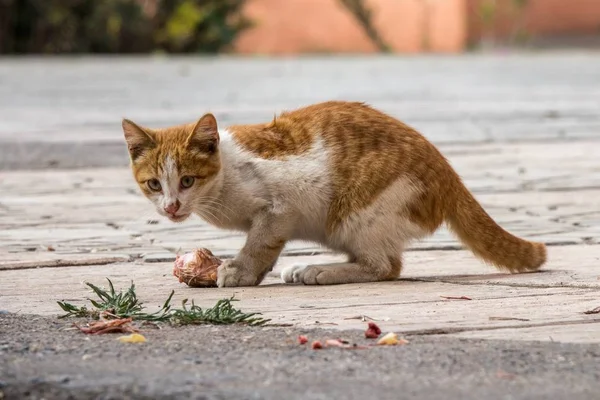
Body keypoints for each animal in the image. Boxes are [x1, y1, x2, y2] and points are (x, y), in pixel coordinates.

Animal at [123, 101, 548, 286]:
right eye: (154, 184)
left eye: (188, 180)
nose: (172, 207)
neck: (225, 178)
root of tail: (447, 172)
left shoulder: (281, 206)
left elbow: (260, 241)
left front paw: (242, 270)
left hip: (359, 210)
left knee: (385, 267)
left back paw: (322, 271)